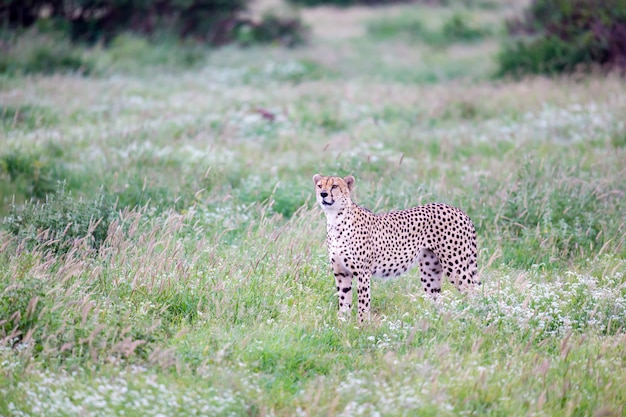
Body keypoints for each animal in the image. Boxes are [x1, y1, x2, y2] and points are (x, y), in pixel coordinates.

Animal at [312, 172, 478, 322]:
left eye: (334, 186)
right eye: (320, 186)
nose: (323, 194)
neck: (335, 219)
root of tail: (458, 210)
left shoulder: (362, 273)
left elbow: (363, 304)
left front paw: (361, 326)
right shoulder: (341, 273)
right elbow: (344, 301)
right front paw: (342, 325)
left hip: (455, 266)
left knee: (472, 291)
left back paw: (474, 318)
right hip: (430, 270)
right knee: (437, 298)